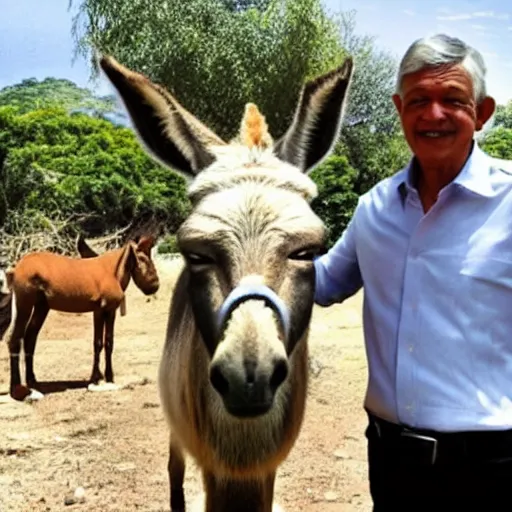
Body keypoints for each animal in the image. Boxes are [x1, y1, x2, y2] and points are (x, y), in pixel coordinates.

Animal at [5, 235, 159, 400]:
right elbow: (98, 343)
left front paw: (109, 378)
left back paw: (32, 381)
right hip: (25, 306)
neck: (111, 272)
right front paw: (95, 378)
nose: (155, 285)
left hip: (41, 308)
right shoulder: (99, 311)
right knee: (14, 339)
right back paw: (18, 390)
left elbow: (109, 343)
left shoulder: (110, 311)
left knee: (30, 338)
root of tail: (16, 267)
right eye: (142, 258)